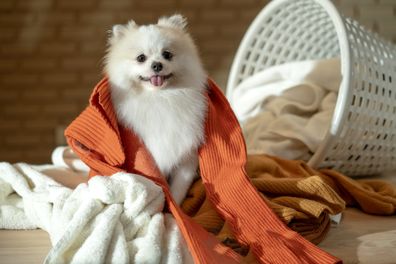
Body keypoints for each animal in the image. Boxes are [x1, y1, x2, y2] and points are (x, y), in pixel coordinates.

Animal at [103, 13, 207, 204]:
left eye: (167, 54)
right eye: (141, 58)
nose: (157, 65)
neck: (159, 97)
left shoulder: (186, 158)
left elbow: (177, 191)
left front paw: (174, 208)